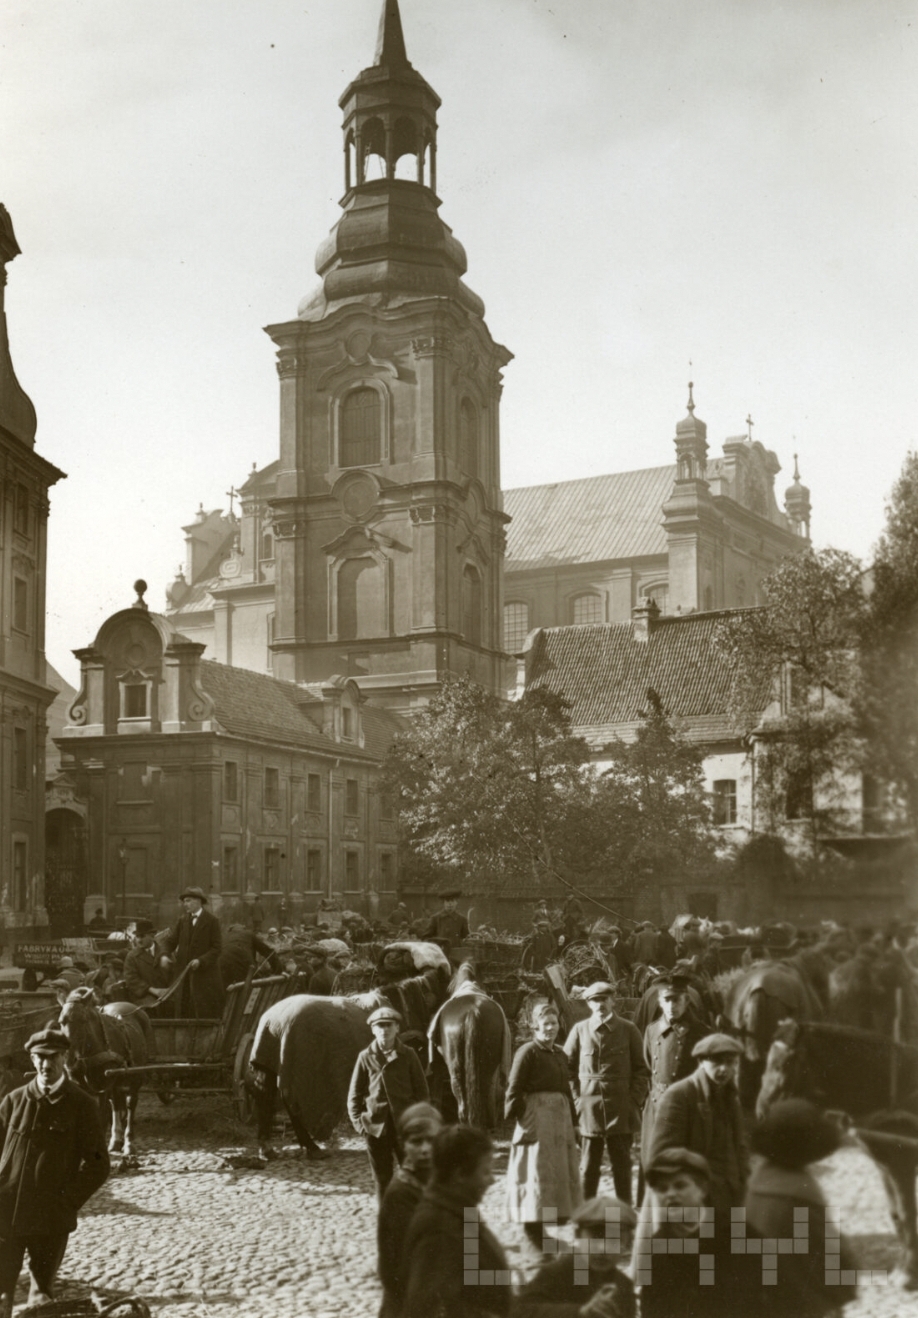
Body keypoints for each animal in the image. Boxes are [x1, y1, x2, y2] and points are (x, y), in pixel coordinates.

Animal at [58, 991, 154, 1154]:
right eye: (61, 1022)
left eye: (83, 1020)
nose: (69, 1059)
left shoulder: (102, 1086)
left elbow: (102, 1119)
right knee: (115, 1103)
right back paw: (115, 1140)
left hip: (136, 1076)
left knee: (130, 1103)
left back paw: (129, 1142)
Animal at [247, 938, 450, 1165]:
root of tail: (273, 1020)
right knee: (290, 1103)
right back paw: (311, 1147)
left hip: (267, 1062)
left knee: (264, 1096)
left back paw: (268, 1148)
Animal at [753, 1017, 916, 1286]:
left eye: (784, 1063)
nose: (761, 1112)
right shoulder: (885, 1167)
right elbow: (896, 1216)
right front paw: (903, 1268)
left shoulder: (901, 1166)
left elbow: (906, 1214)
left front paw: (907, 1274)